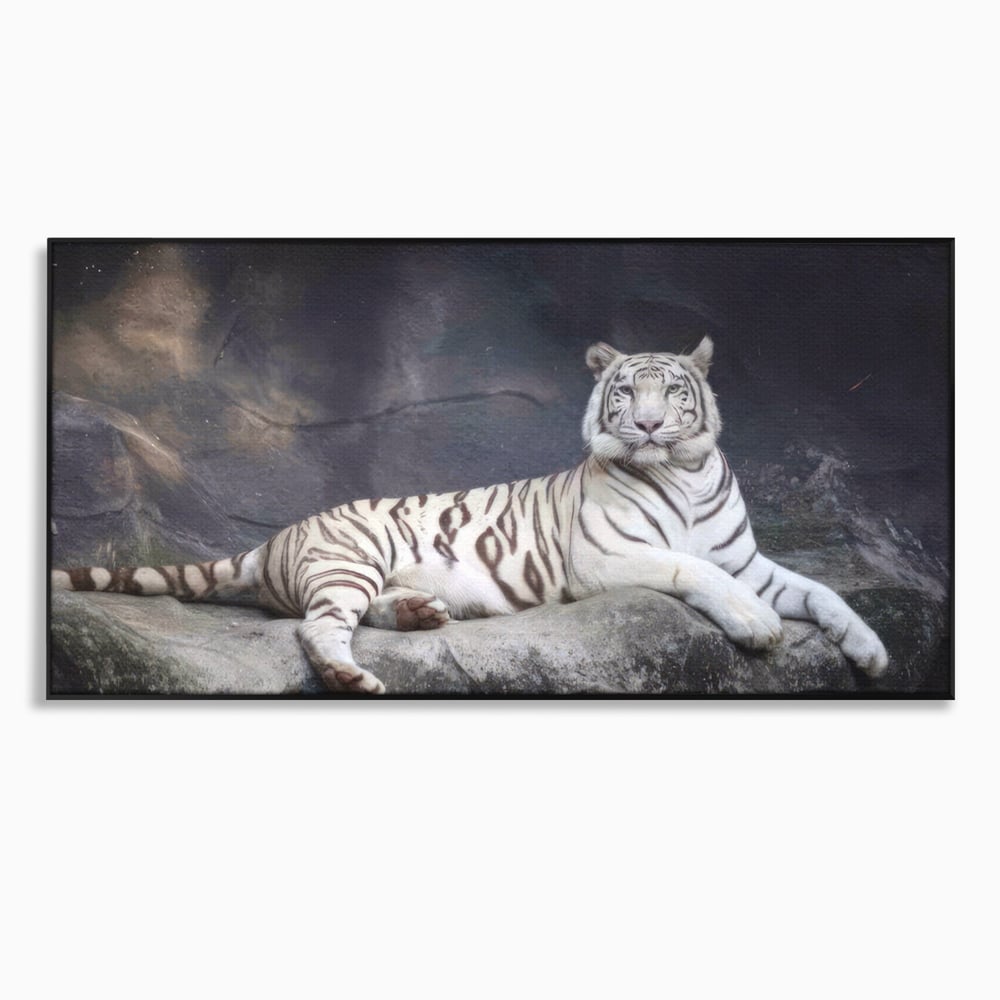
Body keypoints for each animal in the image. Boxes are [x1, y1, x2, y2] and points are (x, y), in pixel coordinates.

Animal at [51, 337, 889, 694]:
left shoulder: (746, 557)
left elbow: (820, 591)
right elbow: (694, 570)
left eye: (673, 393)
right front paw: (758, 625)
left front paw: (872, 652)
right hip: (349, 557)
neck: (680, 470)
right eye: (627, 392)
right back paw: (351, 675)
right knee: (316, 628)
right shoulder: (606, 559)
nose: (649, 425)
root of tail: (278, 539)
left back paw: (422, 614)